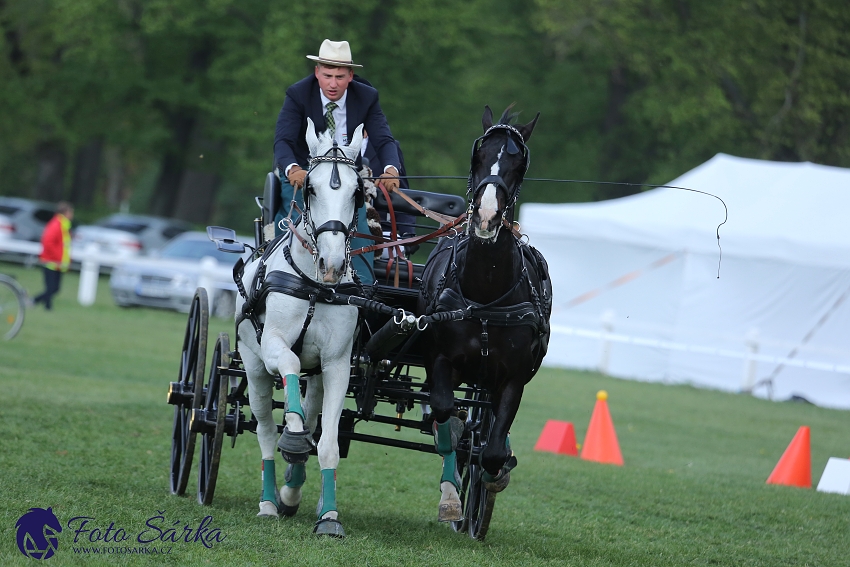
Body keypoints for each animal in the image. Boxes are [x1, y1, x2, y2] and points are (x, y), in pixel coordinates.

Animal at [235, 120, 364, 536]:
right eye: (310, 188)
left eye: (358, 193)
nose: (332, 264)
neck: (313, 285)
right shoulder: (272, 346)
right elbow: (288, 366)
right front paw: (291, 439)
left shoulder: (336, 364)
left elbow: (328, 445)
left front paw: (329, 516)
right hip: (252, 366)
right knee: (263, 429)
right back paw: (269, 502)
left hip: (318, 376)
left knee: (311, 416)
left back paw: (292, 491)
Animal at [416, 105, 548, 524]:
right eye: (478, 156)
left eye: (519, 164)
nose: (487, 217)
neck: (486, 295)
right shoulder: (440, 359)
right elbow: (444, 411)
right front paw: (451, 491)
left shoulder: (513, 379)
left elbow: (491, 450)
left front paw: (493, 477)